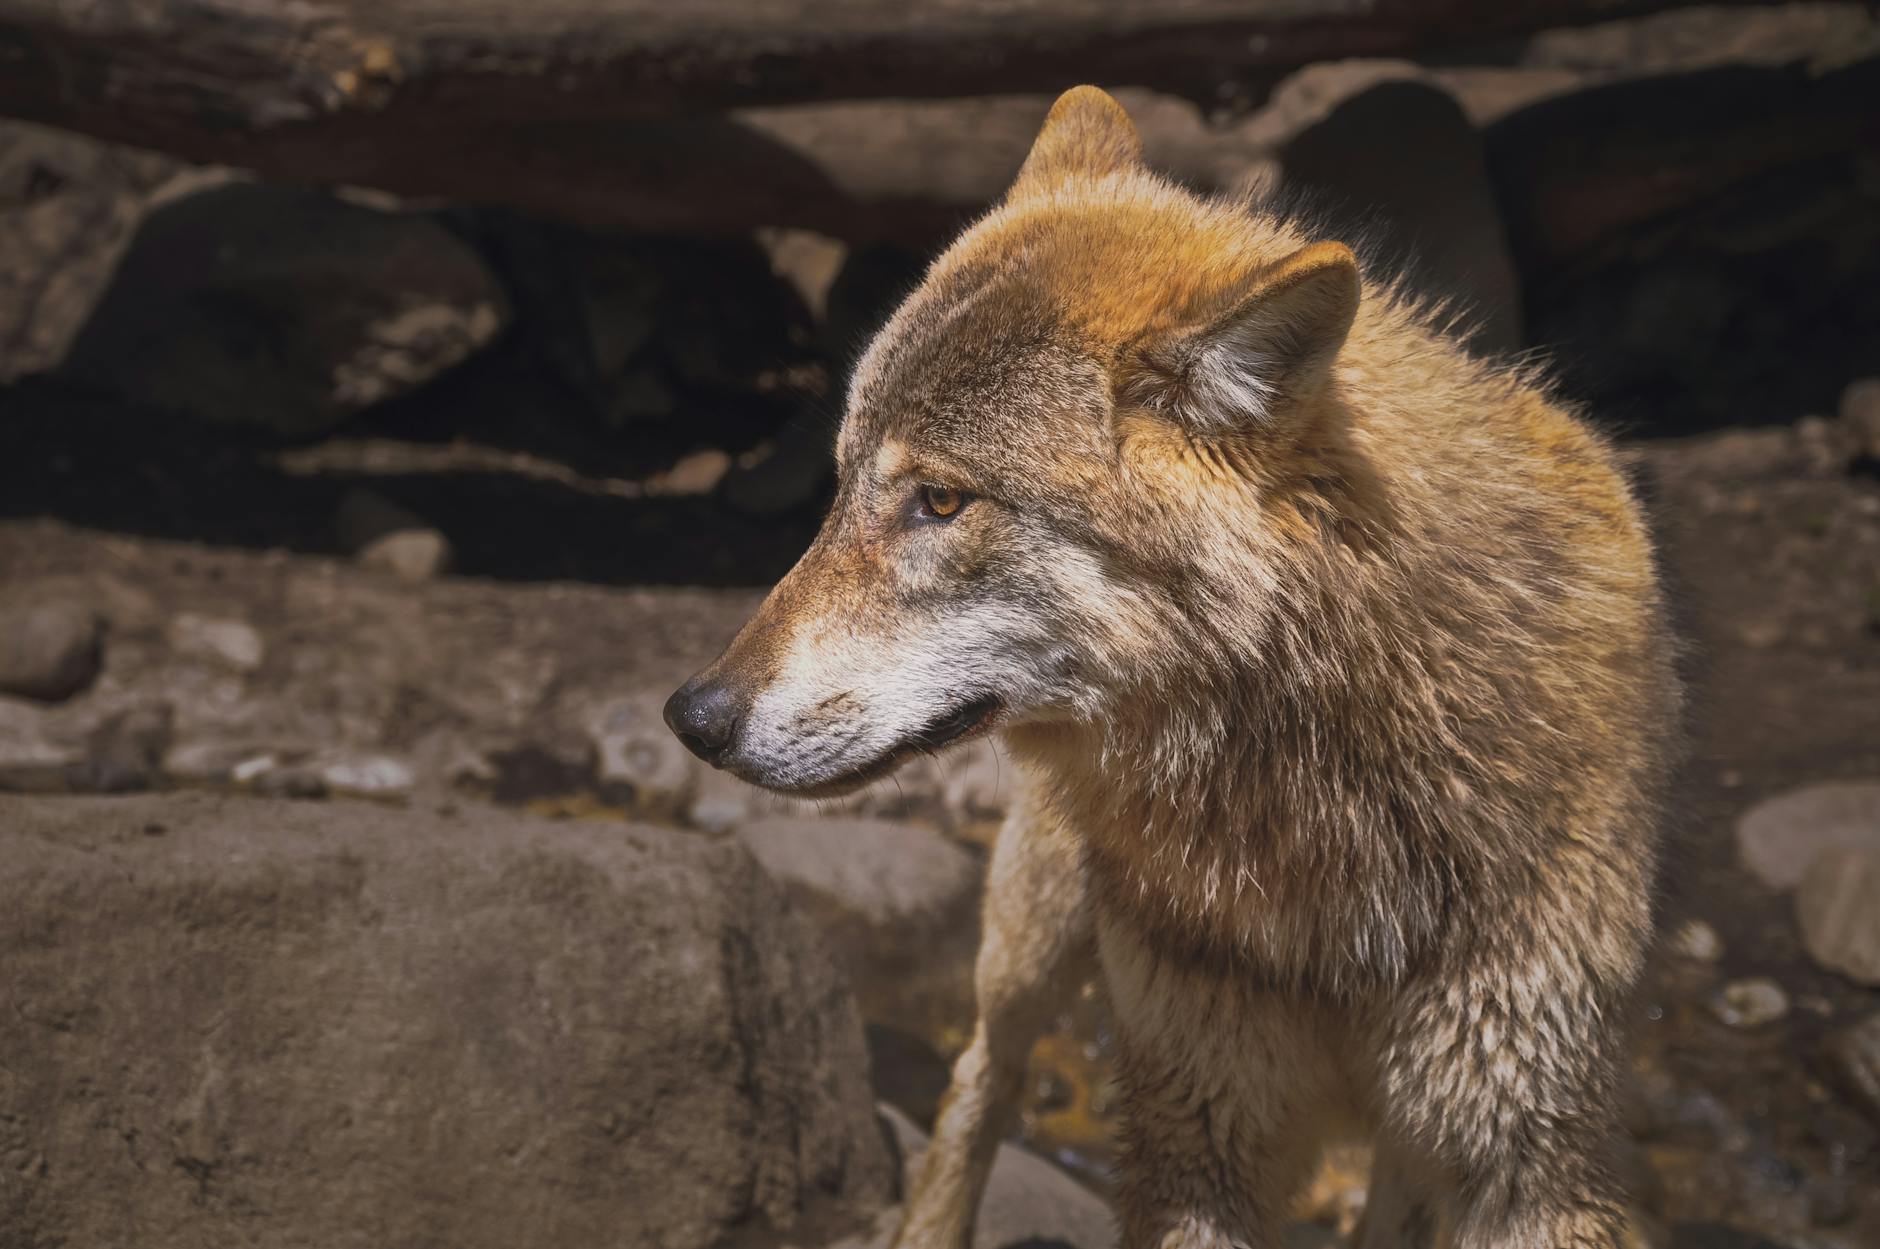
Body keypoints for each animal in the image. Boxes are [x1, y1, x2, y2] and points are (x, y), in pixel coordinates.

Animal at [666, 86, 1679, 1249]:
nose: (693, 715)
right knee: (979, 1081)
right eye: (838, 486)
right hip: (1035, 940)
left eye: (940, 501)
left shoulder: (1524, 1155)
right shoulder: (1198, 1126)